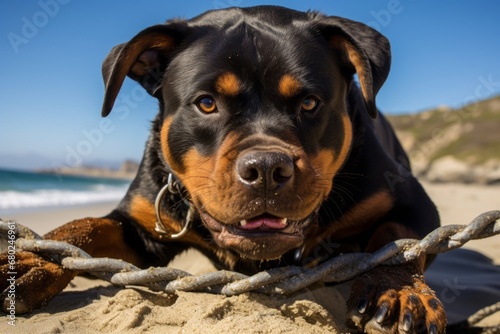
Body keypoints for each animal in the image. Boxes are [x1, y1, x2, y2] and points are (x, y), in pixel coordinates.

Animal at [0, 5, 446, 334]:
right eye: (206, 103)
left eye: (309, 103)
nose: (266, 167)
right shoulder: (140, 227)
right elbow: (81, 229)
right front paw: (29, 261)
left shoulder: (412, 201)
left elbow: (399, 241)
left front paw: (399, 292)